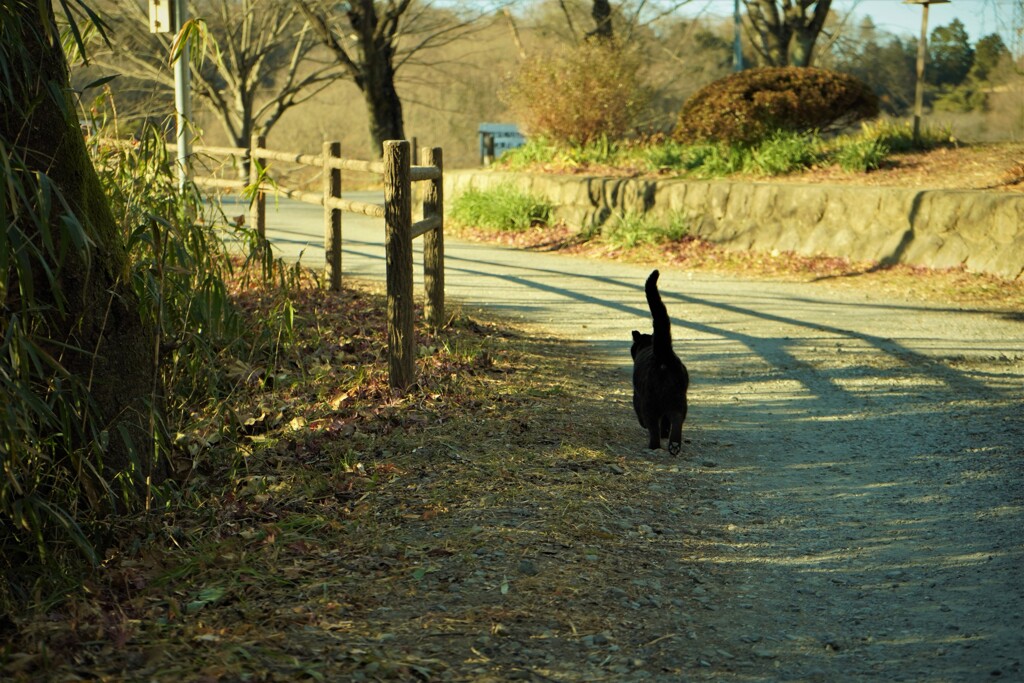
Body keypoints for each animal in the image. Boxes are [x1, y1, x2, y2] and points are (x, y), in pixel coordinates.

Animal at [630, 268, 688, 454]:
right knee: (676, 420)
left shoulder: (637, 395)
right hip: (679, 400)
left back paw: (654, 446)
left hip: (650, 402)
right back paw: (674, 445)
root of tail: (663, 354)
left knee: (653, 425)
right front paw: (665, 433)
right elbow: (666, 423)